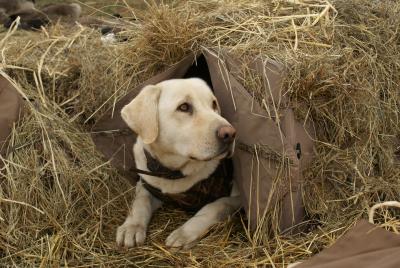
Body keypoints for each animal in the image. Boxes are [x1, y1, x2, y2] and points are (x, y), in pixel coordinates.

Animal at [115, 77, 241, 249]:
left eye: (214, 104)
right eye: (184, 107)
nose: (230, 133)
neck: (174, 173)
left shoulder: (238, 197)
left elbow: (217, 205)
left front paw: (184, 233)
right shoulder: (147, 183)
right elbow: (140, 200)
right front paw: (132, 226)